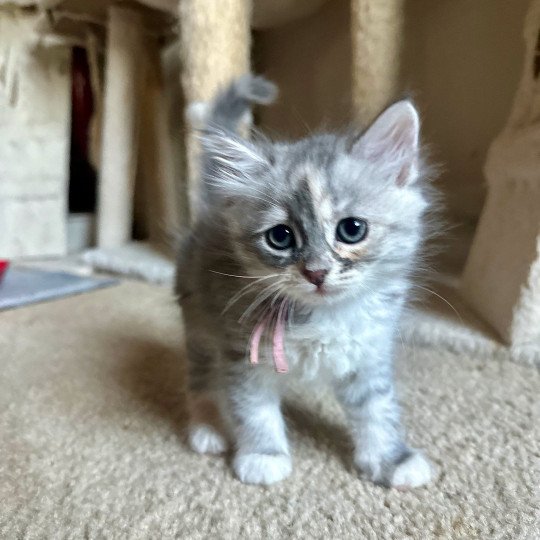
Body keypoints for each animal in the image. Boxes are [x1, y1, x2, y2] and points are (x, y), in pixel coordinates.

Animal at [176, 75, 434, 486]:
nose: (316, 272)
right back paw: (206, 427)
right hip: (200, 328)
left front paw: (391, 458)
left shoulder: (368, 354)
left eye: (352, 229)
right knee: (200, 380)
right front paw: (263, 455)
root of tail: (216, 205)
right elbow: (255, 411)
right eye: (280, 237)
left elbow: (377, 411)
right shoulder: (242, 356)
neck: (323, 317)